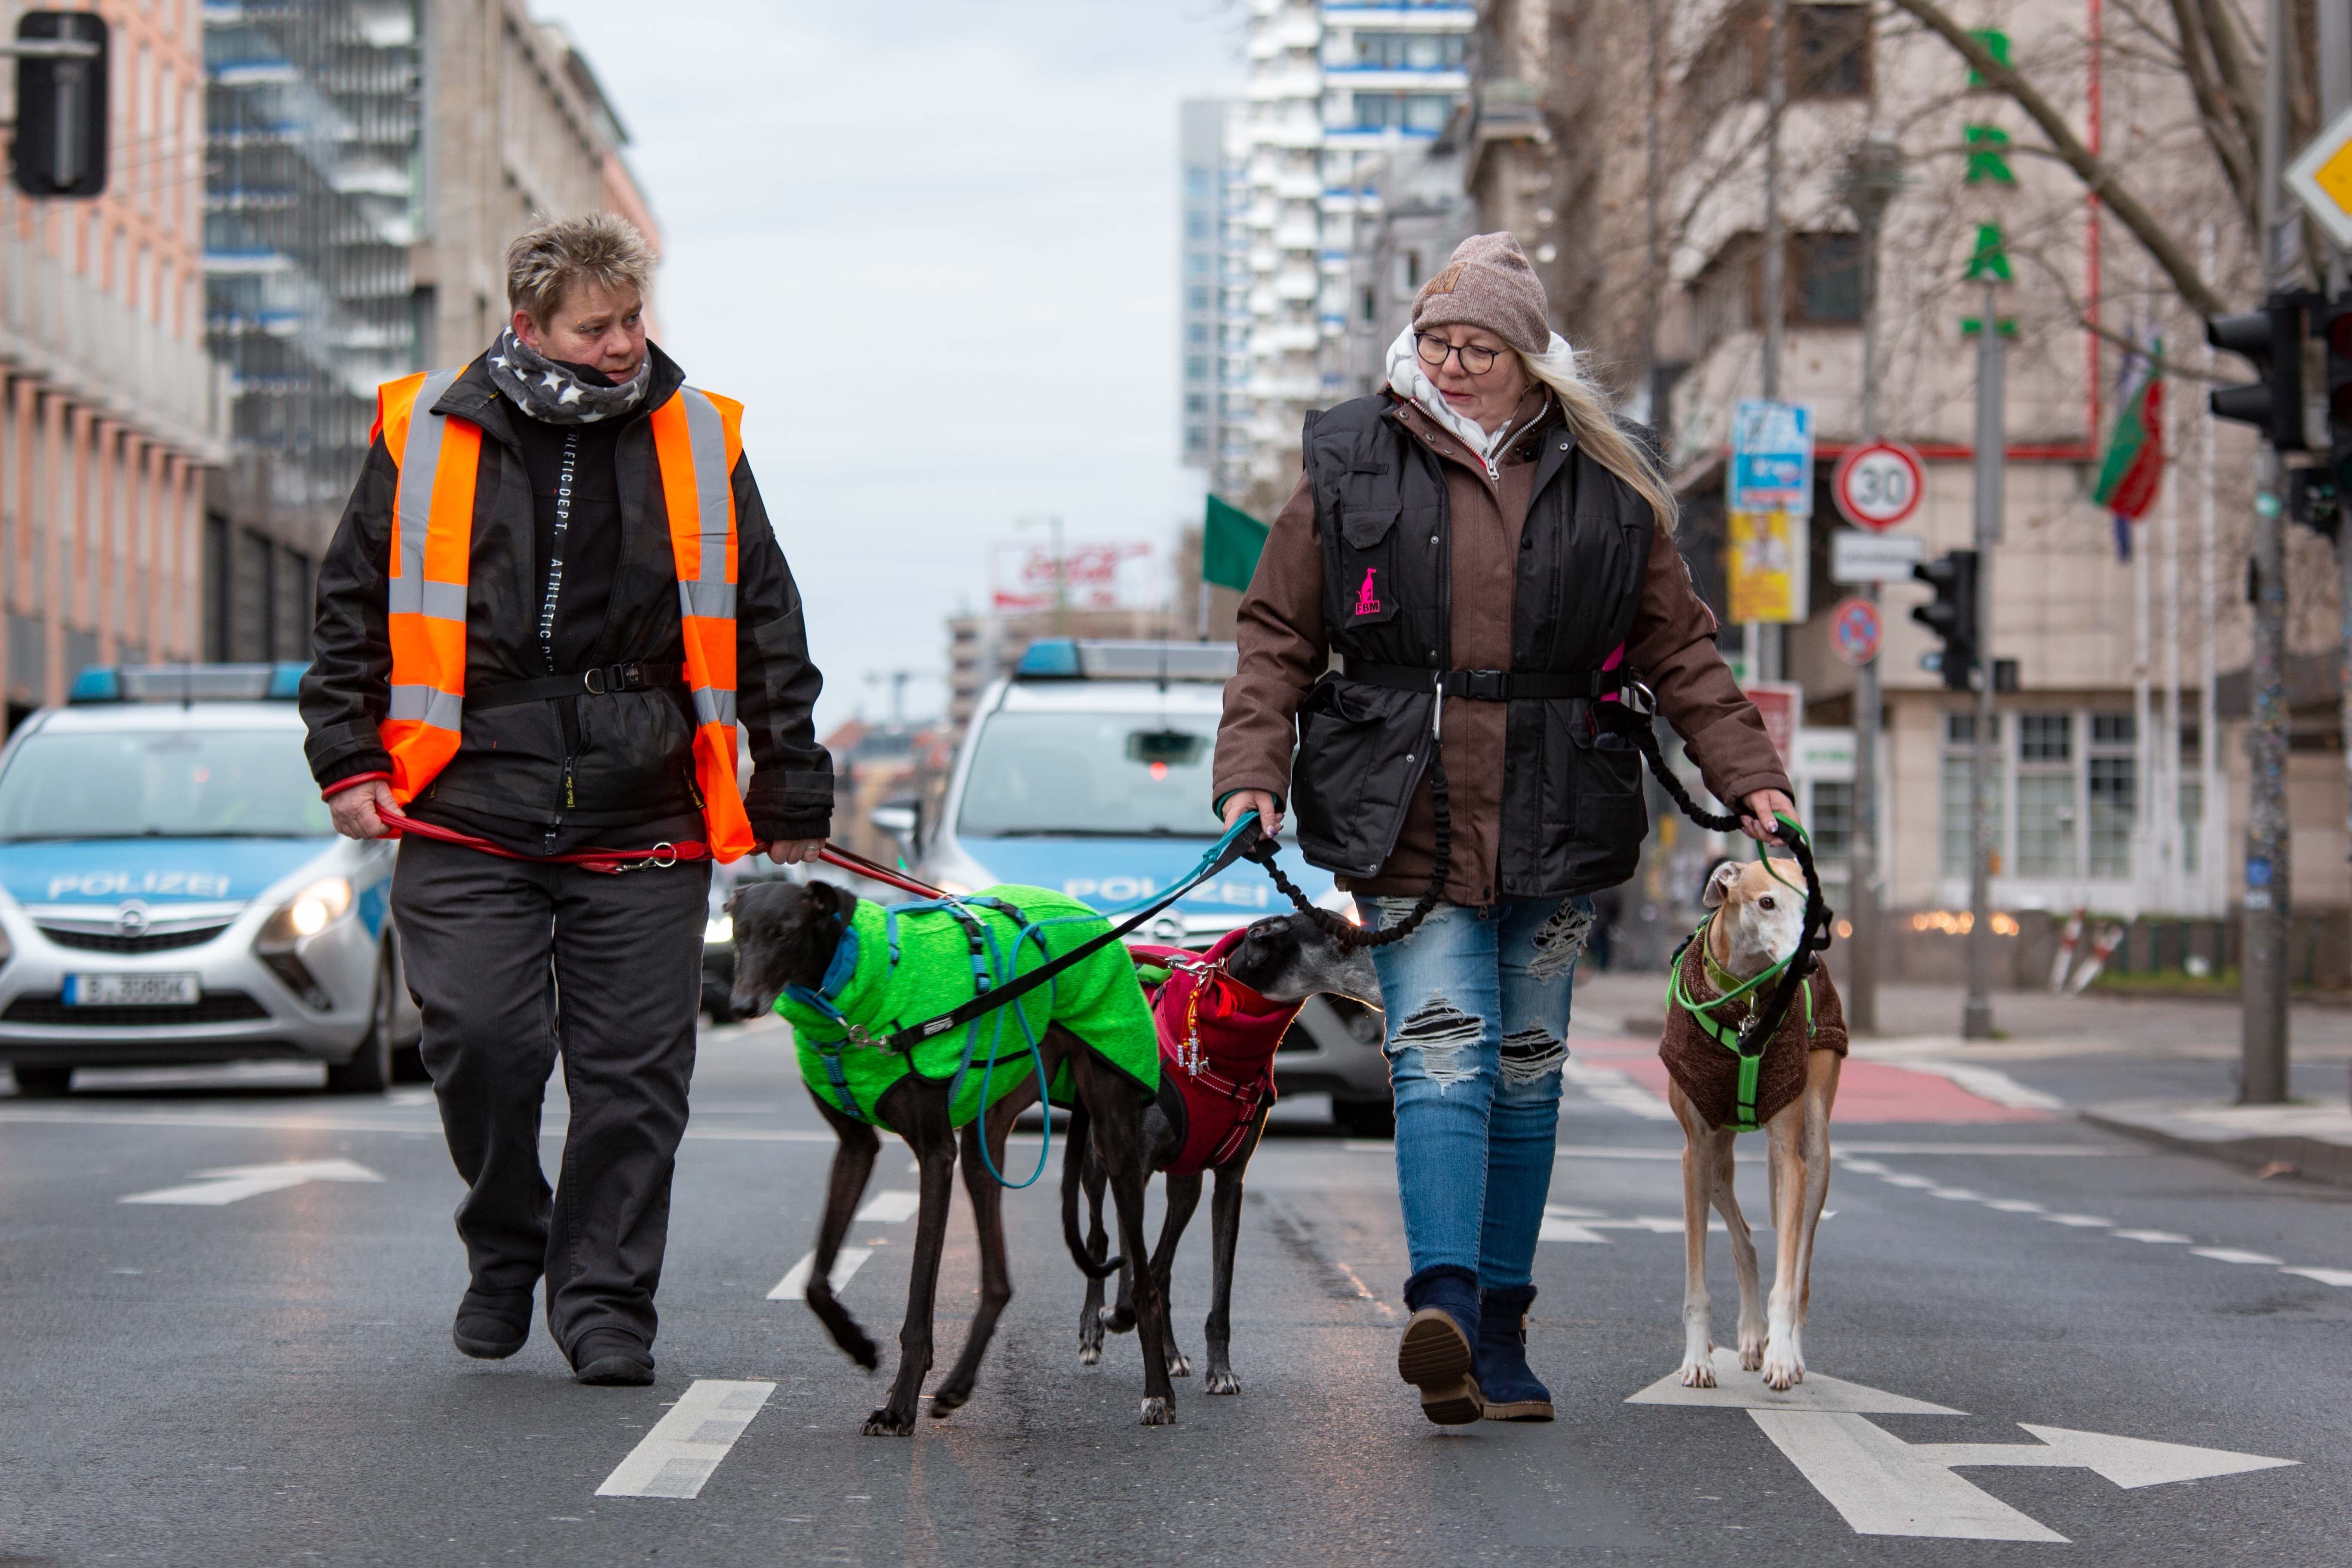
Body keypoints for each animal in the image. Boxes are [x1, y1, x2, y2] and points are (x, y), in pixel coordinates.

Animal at [729, 877, 1181, 1432]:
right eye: (740, 931)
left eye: (785, 932)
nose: (741, 1006)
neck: (850, 989)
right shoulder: (855, 1149)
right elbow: (816, 1281)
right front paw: (859, 1346)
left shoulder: (935, 1155)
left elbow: (919, 1296)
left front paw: (899, 1407)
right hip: (987, 1137)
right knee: (998, 1281)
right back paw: (958, 1385)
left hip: (1112, 1133)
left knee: (1145, 1281)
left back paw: (1159, 1392)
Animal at [1065, 913, 1382, 1396]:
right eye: (1344, 941)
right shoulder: (1137, 1165)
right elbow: (1134, 1265)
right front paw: (1115, 1318)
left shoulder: (1230, 1180)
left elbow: (1212, 1286)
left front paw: (1220, 1370)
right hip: (1100, 1159)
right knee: (1102, 1237)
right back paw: (1092, 1330)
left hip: (1186, 1184)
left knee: (1163, 1263)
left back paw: (1169, 1352)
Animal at [1660, 857, 1847, 1392]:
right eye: (1767, 902)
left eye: (1814, 908)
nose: (1809, 963)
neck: (1744, 1006)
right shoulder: (1694, 1152)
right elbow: (1697, 1282)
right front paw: (1697, 1360)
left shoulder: (1789, 1154)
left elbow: (1788, 1278)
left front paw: (1781, 1357)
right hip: (1717, 1162)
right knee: (1744, 1238)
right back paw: (1748, 1335)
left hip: (1816, 1148)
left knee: (1798, 1268)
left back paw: (1787, 1351)